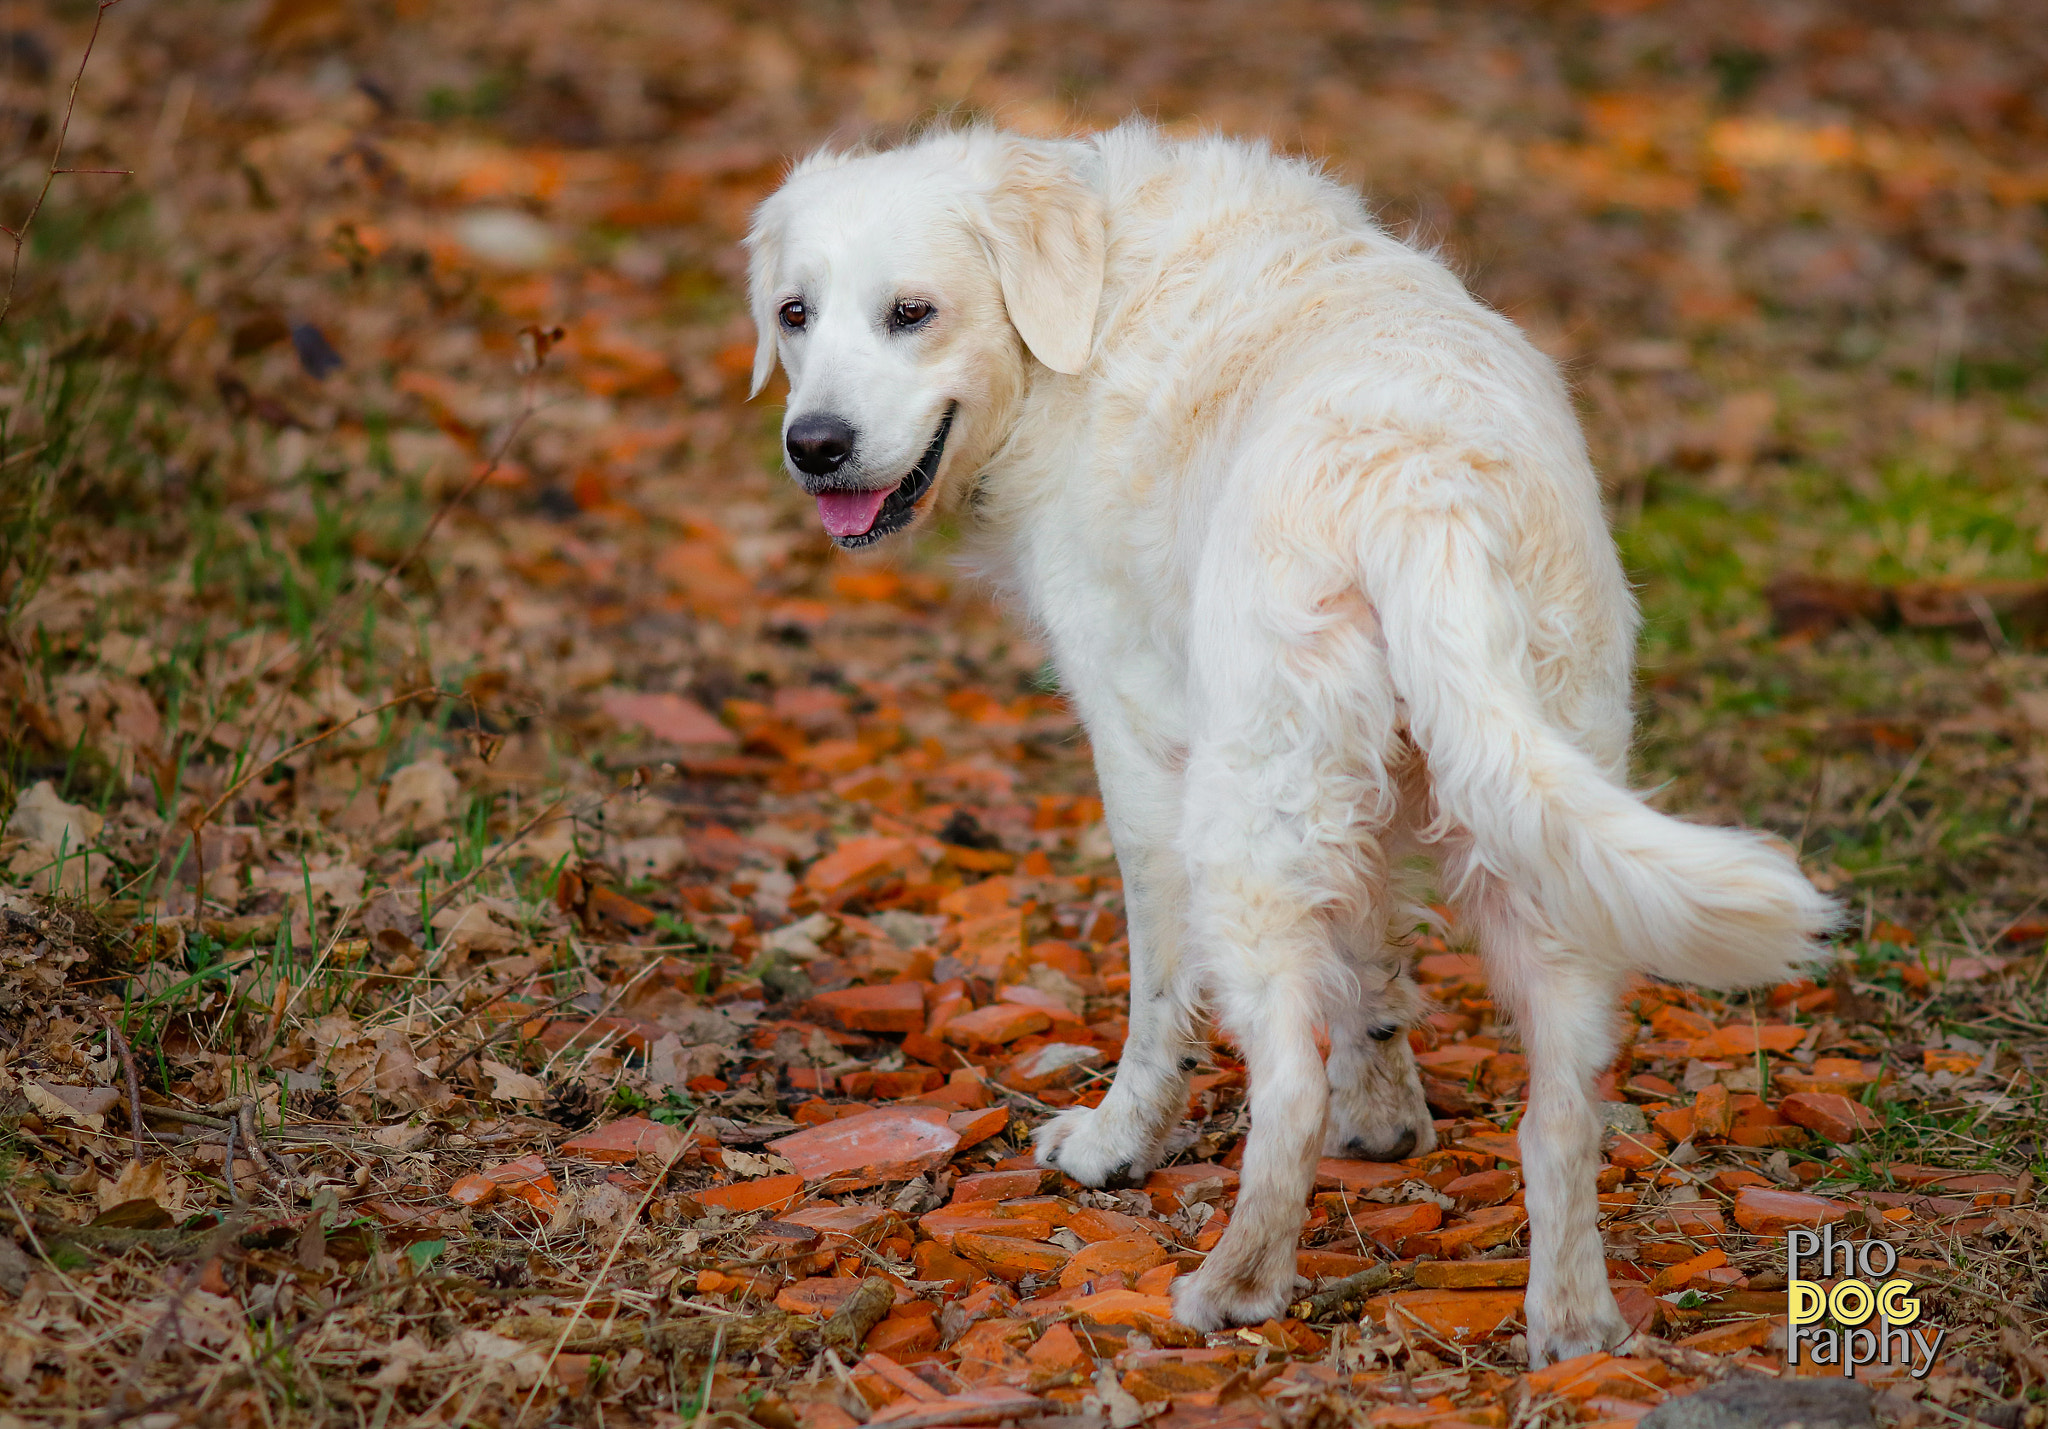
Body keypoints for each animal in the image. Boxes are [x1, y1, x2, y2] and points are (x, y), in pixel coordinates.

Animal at [745, 127, 1835, 1367]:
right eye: (792, 313)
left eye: (911, 312)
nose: (813, 445)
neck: (1089, 293)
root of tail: (1423, 489)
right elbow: (1366, 959)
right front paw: (1389, 1118)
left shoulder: (1139, 748)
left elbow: (1159, 995)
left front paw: (1118, 1143)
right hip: (1528, 826)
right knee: (1559, 1110)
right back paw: (1571, 1326)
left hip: (1246, 828)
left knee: (1286, 1086)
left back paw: (1233, 1283)